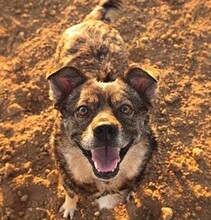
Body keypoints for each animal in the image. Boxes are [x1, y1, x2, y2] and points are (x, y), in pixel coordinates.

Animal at [47, 0, 157, 219]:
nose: (105, 130)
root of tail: (93, 21)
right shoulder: (66, 175)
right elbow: (70, 192)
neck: (104, 181)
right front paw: (69, 207)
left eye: (125, 109)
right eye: (82, 110)